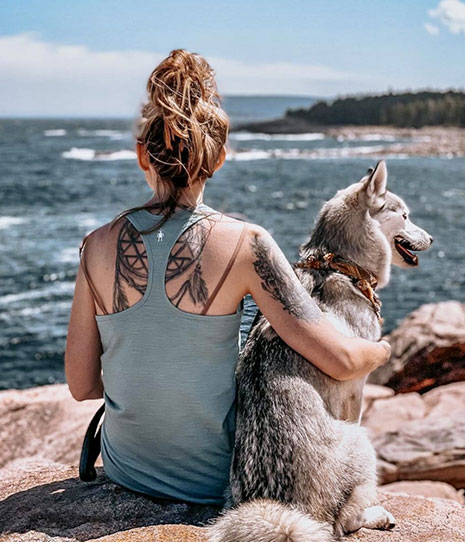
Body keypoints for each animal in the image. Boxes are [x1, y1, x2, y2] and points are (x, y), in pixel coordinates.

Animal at [207, 162, 432, 542]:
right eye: (404, 215)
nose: (432, 239)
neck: (339, 265)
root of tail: (286, 510)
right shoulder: (356, 387)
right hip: (362, 442)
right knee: (344, 523)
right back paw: (374, 514)